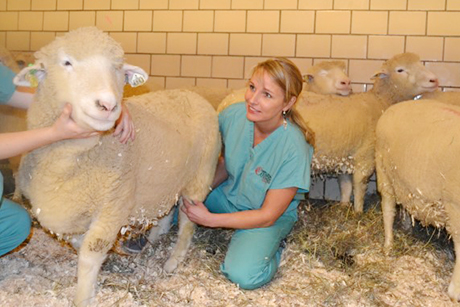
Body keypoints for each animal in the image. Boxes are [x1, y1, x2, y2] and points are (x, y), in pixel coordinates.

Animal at [13, 26, 221, 307]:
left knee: (188, 222)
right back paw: (155, 235)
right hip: (168, 179)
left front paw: (83, 296)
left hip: (199, 177)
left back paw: (173, 260)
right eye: (66, 62)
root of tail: (191, 94)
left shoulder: (114, 203)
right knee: (167, 208)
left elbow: (91, 252)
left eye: (117, 68)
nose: (109, 105)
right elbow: (79, 243)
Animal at [219, 53, 438, 212]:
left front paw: (344, 206)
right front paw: (358, 212)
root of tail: (223, 102)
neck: (380, 102)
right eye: (400, 70)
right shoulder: (365, 156)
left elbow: (345, 186)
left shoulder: (345, 157)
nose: (434, 79)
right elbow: (359, 186)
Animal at [376, 100, 460, 300]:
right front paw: (455, 291)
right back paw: (388, 245)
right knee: (388, 209)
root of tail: (395, 106)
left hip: (404, 184)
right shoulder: (454, 206)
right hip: (384, 172)